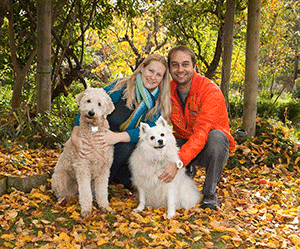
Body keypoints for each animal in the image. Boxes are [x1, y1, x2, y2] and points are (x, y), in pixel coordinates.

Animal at [51, 87, 114, 218]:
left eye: (99, 104)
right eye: (88, 100)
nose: (91, 113)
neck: (93, 130)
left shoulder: (104, 169)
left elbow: (102, 190)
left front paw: (104, 206)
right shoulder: (82, 166)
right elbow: (85, 191)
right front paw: (86, 209)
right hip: (60, 177)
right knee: (61, 193)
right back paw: (63, 200)